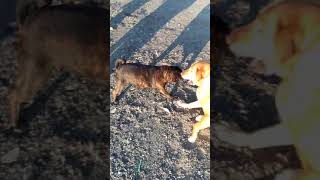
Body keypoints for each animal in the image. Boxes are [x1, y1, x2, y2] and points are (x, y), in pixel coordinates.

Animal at [225, 0, 320, 179]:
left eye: (261, 30)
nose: (227, 38)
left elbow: (289, 174)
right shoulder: (291, 126)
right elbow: (260, 135)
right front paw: (229, 134)